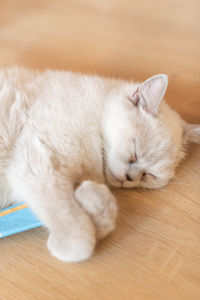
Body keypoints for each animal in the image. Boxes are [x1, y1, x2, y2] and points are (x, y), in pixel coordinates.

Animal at [0, 67, 199, 262]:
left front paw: (91, 198)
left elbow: (102, 218)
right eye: (134, 154)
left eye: (148, 176)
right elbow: (73, 223)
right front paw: (70, 245)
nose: (130, 178)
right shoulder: (38, 164)